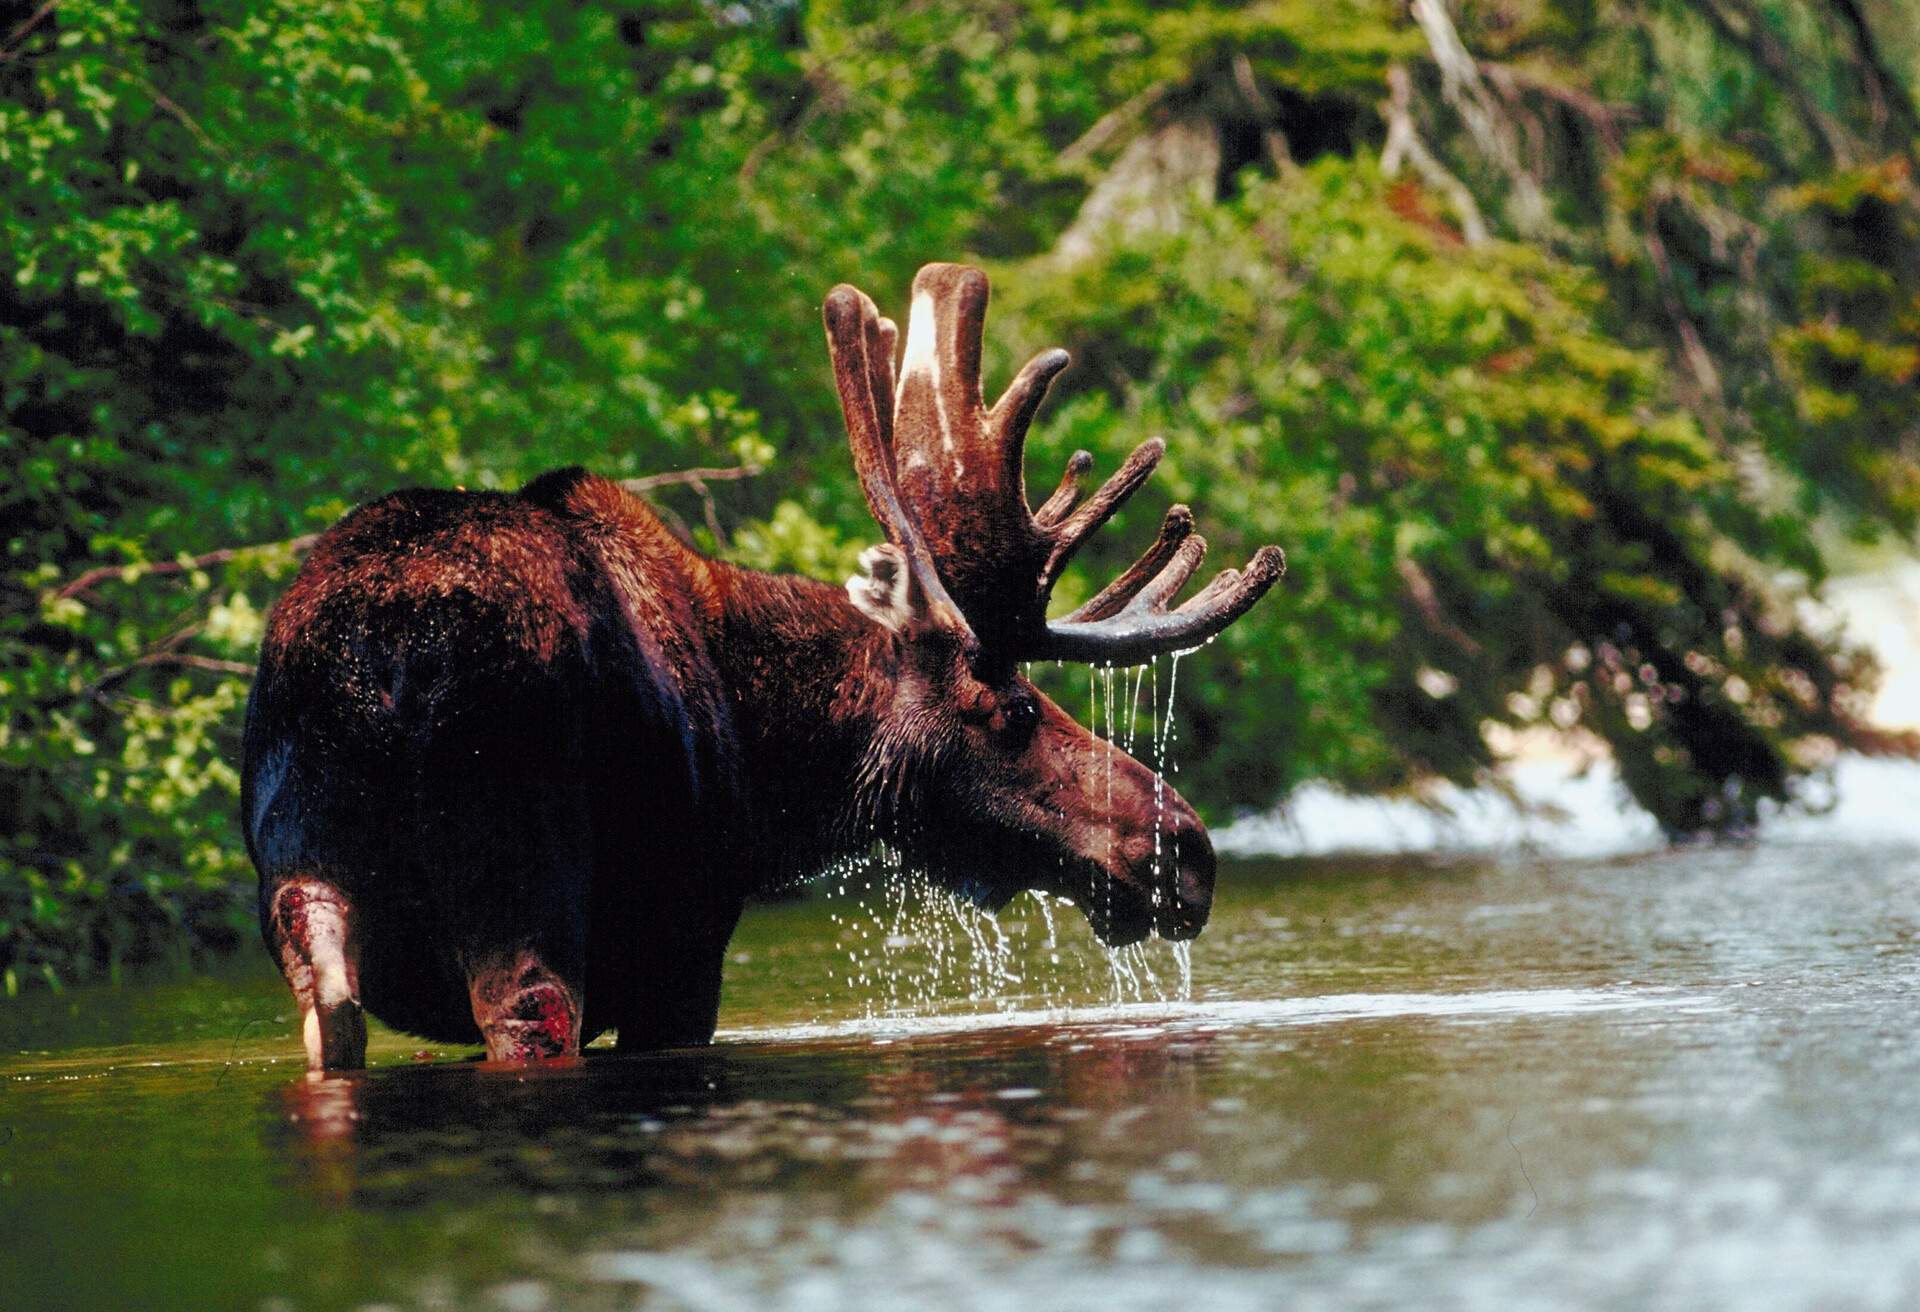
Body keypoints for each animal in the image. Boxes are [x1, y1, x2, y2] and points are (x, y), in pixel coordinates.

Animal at [243, 265, 1290, 1068]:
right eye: (1018, 708)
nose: (1187, 849)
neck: (777, 769)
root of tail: (386, 651)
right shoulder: (681, 941)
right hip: (517, 868)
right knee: (529, 1012)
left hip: (301, 871)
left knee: (332, 1011)